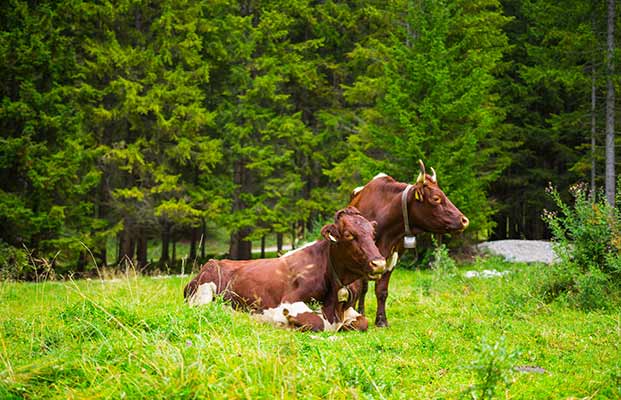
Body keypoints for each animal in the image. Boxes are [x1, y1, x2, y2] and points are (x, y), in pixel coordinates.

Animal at [182, 206, 386, 332]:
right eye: (349, 235)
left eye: (373, 234)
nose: (380, 263)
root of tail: (212, 261)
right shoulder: (288, 302)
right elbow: (317, 322)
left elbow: (363, 322)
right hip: (203, 294)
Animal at [348, 161, 464, 326]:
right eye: (436, 198)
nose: (464, 220)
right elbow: (359, 287)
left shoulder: (392, 257)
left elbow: (382, 290)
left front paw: (381, 321)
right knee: (363, 287)